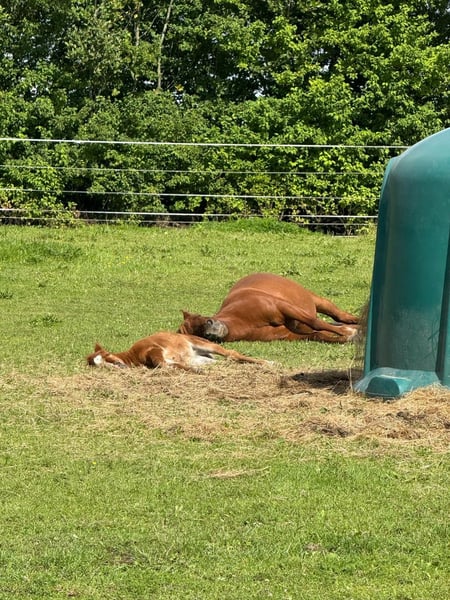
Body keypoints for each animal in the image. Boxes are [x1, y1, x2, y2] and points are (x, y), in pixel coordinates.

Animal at [178, 272, 359, 343]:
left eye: (201, 318)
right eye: (196, 336)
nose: (211, 332)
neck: (242, 320)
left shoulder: (284, 307)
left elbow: (316, 323)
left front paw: (348, 332)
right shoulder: (291, 334)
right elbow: (319, 335)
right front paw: (348, 336)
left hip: (315, 301)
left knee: (337, 315)